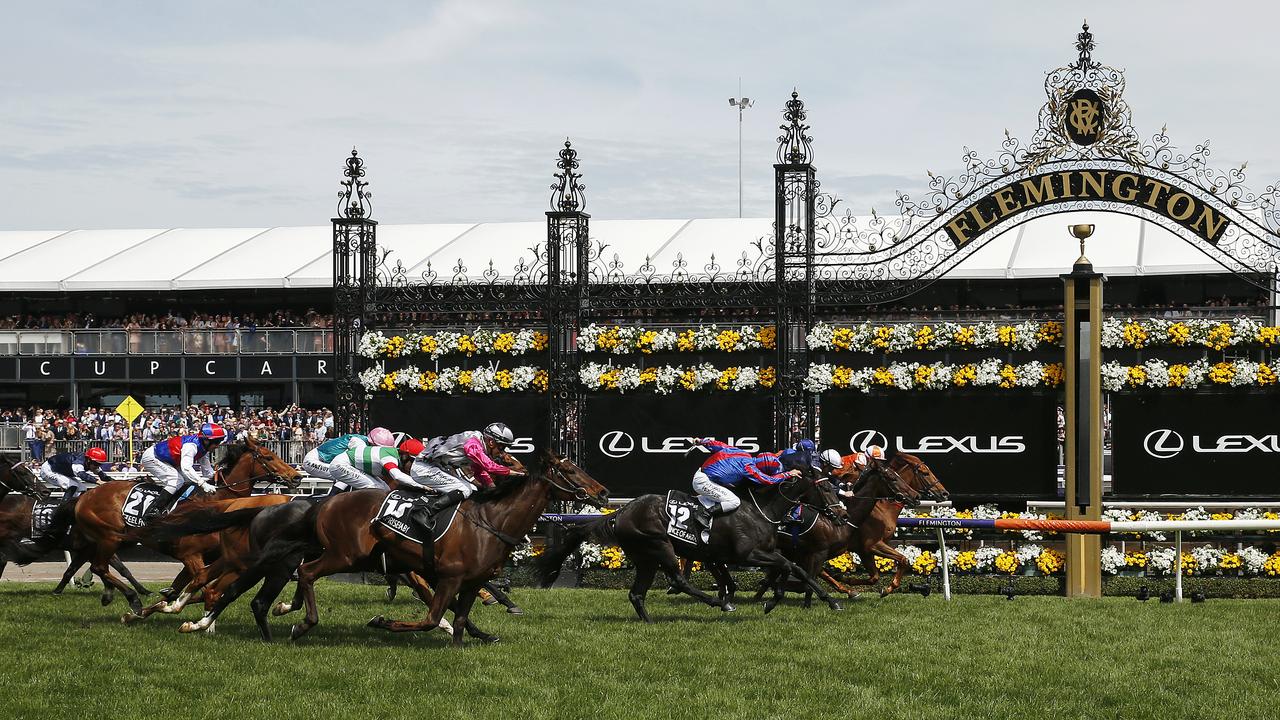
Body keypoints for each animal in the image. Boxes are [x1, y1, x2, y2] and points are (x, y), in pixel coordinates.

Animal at [70, 438, 299, 617]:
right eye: (268, 457)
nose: (296, 476)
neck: (216, 504)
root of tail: (86, 495)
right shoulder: (191, 556)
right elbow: (204, 589)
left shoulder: (205, 559)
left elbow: (181, 589)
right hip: (110, 537)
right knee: (99, 566)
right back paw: (132, 598)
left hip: (114, 539)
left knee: (101, 565)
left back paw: (111, 594)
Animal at [149, 448, 609, 645]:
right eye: (570, 470)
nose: (603, 491)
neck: (490, 522)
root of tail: (322, 502)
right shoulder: (447, 576)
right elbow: (430, 618)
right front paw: (383, 622)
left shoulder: (467, 580)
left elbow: (462, 619)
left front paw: (471, 637)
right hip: (337, 554)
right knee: (279, 579)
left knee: (244, 589)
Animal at [535, 468, 855, 620]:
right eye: (826, 488)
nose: (842, 515)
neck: (761, 510)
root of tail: (620, 512)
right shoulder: (748, 554)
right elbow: (787, 566)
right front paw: (771, 600)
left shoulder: (766, 551)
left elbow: (796, 569)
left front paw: (832, 601)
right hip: (659, 546)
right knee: (677, 579)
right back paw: (719, 603)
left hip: (644, 557)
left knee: (637, 593)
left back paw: (649, 622)